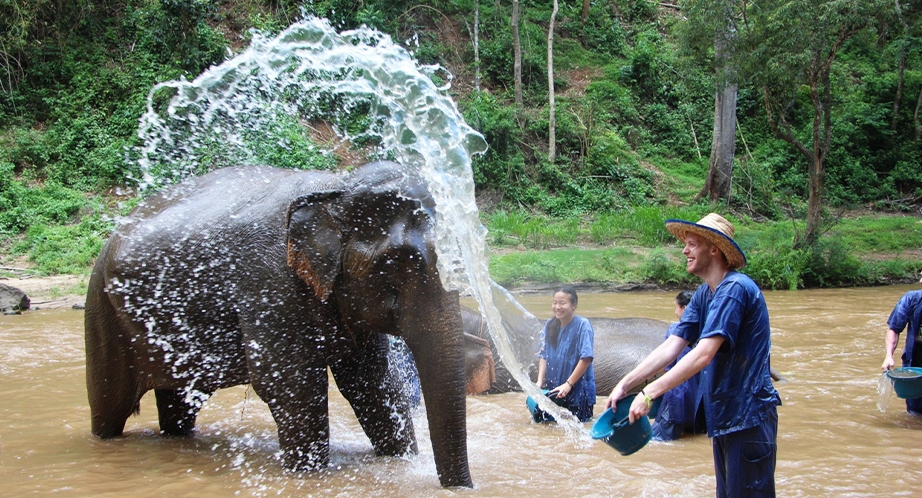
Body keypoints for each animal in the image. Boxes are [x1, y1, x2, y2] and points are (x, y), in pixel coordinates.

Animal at [85, 162, 470, 486]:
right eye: (397, 262)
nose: (461, 488)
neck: (336, 187)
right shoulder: (268, 283)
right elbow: (290, 384)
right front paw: (308, 476)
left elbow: (371, 382)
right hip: (103, 314)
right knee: (110, 406)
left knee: (179, 403)